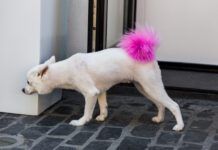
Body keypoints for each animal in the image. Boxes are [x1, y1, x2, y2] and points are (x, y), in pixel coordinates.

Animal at [23, 27, 184, 131]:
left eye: (28, 82)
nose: (22, 90)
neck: (66, 69)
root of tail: (147, 53)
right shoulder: (100, 91)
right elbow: (103, 105)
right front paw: (102, 116)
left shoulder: (90, 93)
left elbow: (87, 111)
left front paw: (80, 122)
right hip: (145, 88)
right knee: (161, 104)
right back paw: (159, 119)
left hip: (151, 86)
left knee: (173, 105)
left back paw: (179, 126)